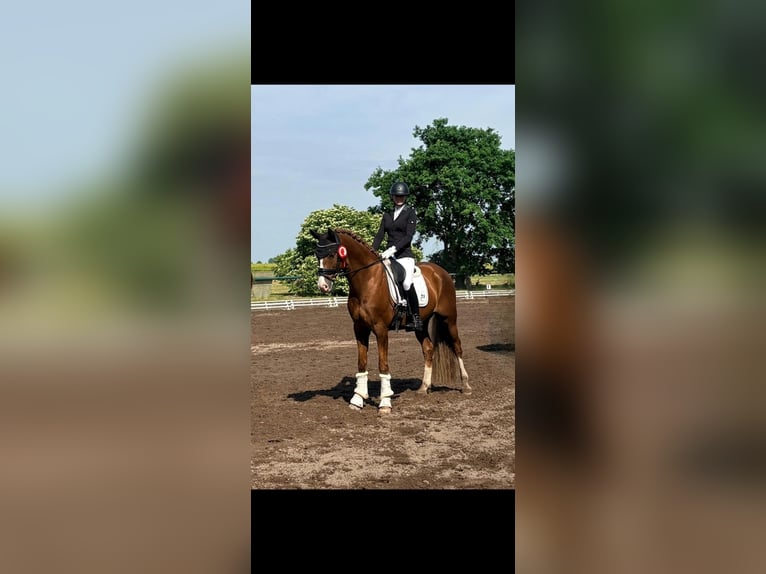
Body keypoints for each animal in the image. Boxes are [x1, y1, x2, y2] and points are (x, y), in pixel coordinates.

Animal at [310, 227, 471, 414]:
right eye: (317, 255)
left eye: (331, 254)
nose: (323, 286)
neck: (367, 280)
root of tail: (441, 272)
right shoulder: (359, 328)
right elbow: (361, 363)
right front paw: (357, 400)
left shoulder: (380, 329)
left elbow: (383, 364)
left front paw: (385, 403)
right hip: (420, 325)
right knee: (428, 349)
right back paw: (424, 388)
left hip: (449, 319)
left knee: (457, 347)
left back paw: (466, 386)